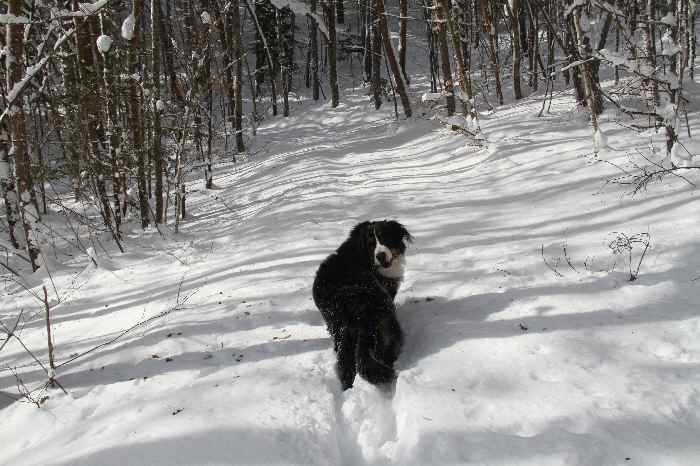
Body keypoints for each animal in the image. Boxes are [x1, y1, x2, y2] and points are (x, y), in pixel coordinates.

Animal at [312, 220, 410, 388]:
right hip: (382, 314)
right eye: (371, 244)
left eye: (385, 238)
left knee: (345, 362)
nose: (381, 256)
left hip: (339, 330)